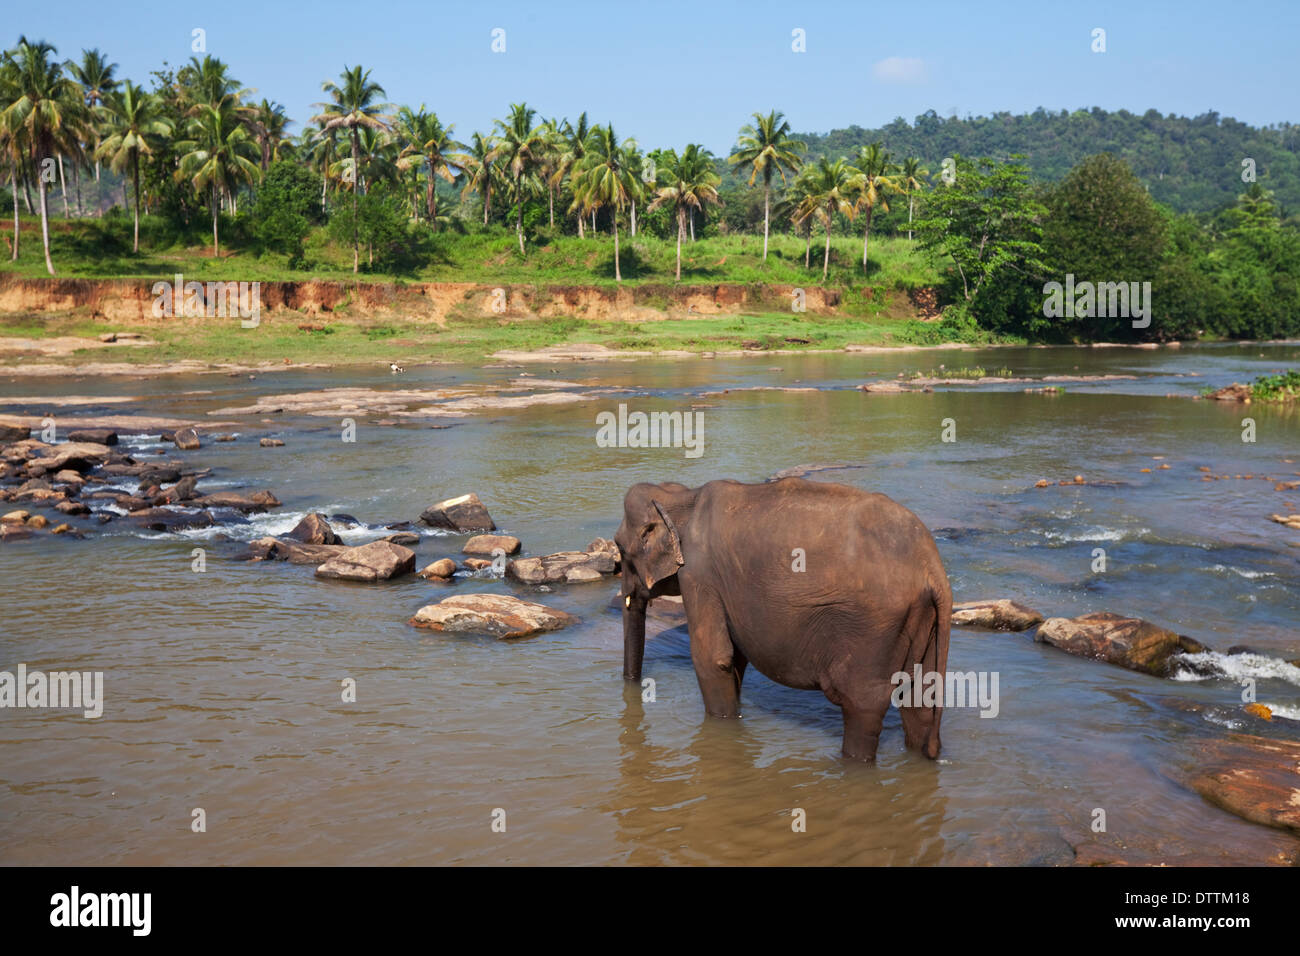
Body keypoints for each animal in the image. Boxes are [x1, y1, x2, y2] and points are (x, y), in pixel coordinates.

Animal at [615, 478, 952, 761]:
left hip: (876, 630)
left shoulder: (699, 575)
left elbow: (713, 658)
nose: (632, 685)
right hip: (923, 622)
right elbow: (735, 658)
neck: (684, 496)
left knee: (862, 705)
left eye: (620, 549)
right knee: (919, 701)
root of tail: (933, 568)